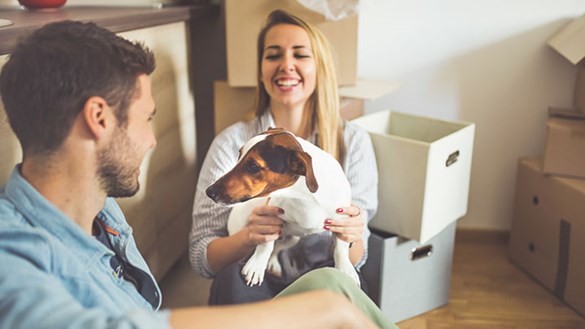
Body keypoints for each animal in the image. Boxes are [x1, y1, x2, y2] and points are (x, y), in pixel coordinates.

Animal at [205, 127, 360, 286]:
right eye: (239, 155)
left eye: (253, 166)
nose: (209, 192)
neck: (303, 197)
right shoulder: (270, 217)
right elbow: (266, 244)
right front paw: (257, 264)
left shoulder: (342, 221)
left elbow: (340, 248)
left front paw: (345, 269)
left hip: (293, 238)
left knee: (278, 247)